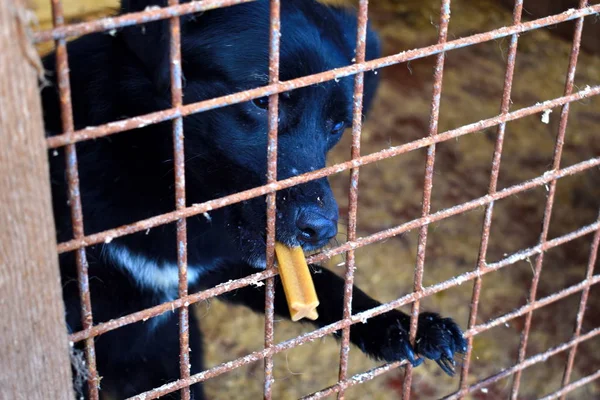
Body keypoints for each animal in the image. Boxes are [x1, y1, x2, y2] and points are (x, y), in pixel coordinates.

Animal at [42, 0, 466, 396]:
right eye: (263, 102)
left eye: (337, 126)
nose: (322, 230)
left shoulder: (225, 270)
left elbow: (328, 285)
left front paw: (400, 325)